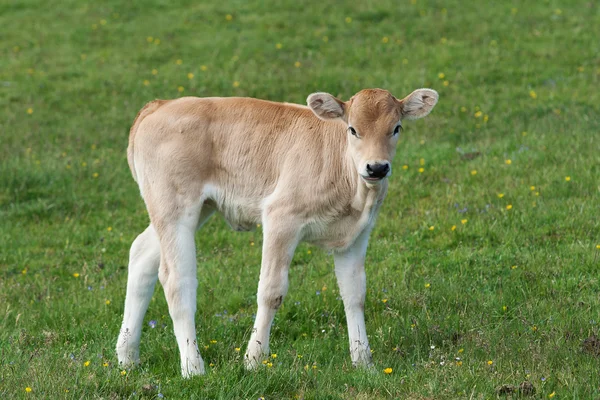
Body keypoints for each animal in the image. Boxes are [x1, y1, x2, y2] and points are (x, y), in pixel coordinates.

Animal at [116, 86, 436, 376]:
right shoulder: (281, 218)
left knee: (141, 254)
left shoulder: (357, 235)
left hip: (195, 208)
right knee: (176, 280)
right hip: (175, 207)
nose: (377, 168)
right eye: (352, 129)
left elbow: (354, 293)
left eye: (396, 128)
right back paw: (193, 367)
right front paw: (254, 359)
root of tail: (161, 105)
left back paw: (127, 357)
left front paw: (363, 362)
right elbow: (271, 292)